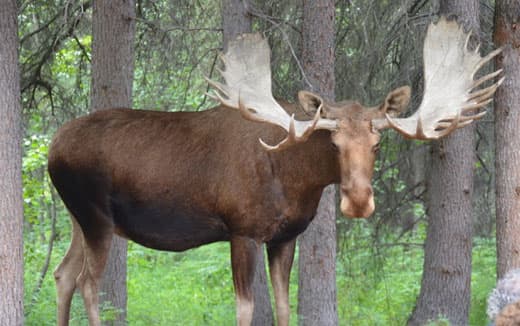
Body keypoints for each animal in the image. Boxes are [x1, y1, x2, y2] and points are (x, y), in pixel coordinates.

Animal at [49, 17, 504, 326]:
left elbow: (285, 306)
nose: (358, 202)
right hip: (95, 216)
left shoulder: (286, 237)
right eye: (334, 143)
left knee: (63, 274)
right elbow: (246, 307)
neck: (296, 183)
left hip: (78, 219)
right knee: (88, 282)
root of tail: (53, 147)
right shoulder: (243, 230)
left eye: (377, 144)